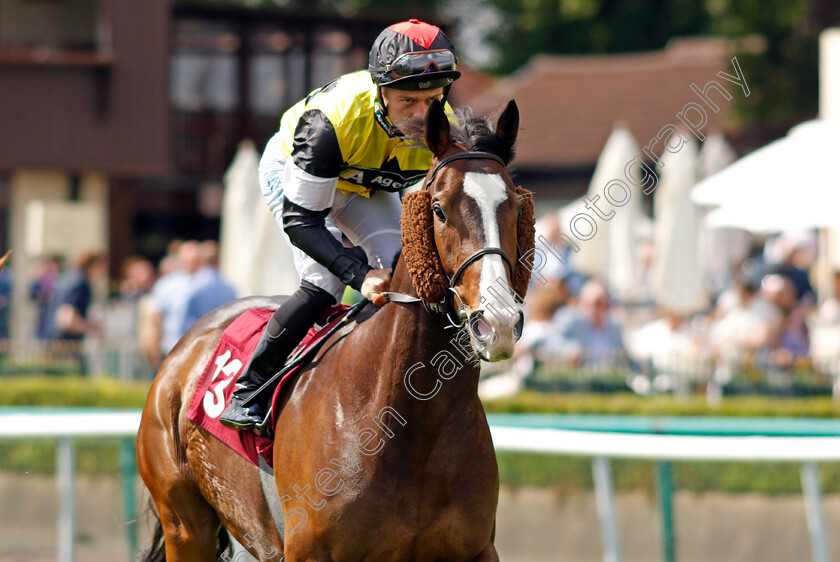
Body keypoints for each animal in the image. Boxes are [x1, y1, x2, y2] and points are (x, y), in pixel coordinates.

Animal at [135, 100, 536, 560]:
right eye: (438, 209)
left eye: (517, 208)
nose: (498, 321)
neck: (407, 420)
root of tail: (185, 346)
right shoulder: (308, 550)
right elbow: (302, 223)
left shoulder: (476, 548)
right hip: (184, 524)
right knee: (316, 280)